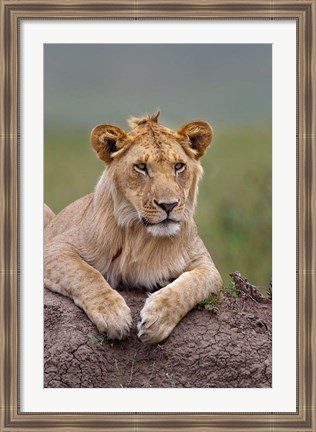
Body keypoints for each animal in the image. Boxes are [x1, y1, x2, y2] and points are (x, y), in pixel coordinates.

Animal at [44, 110, 222, 344]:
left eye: (178, 166)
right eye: (141, 167)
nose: (169, 205)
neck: (143, 237)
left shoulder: (207, 266)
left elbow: (191, 285)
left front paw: (157, 319)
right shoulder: (55, 248)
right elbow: (86, 273)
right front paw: (112, 314)